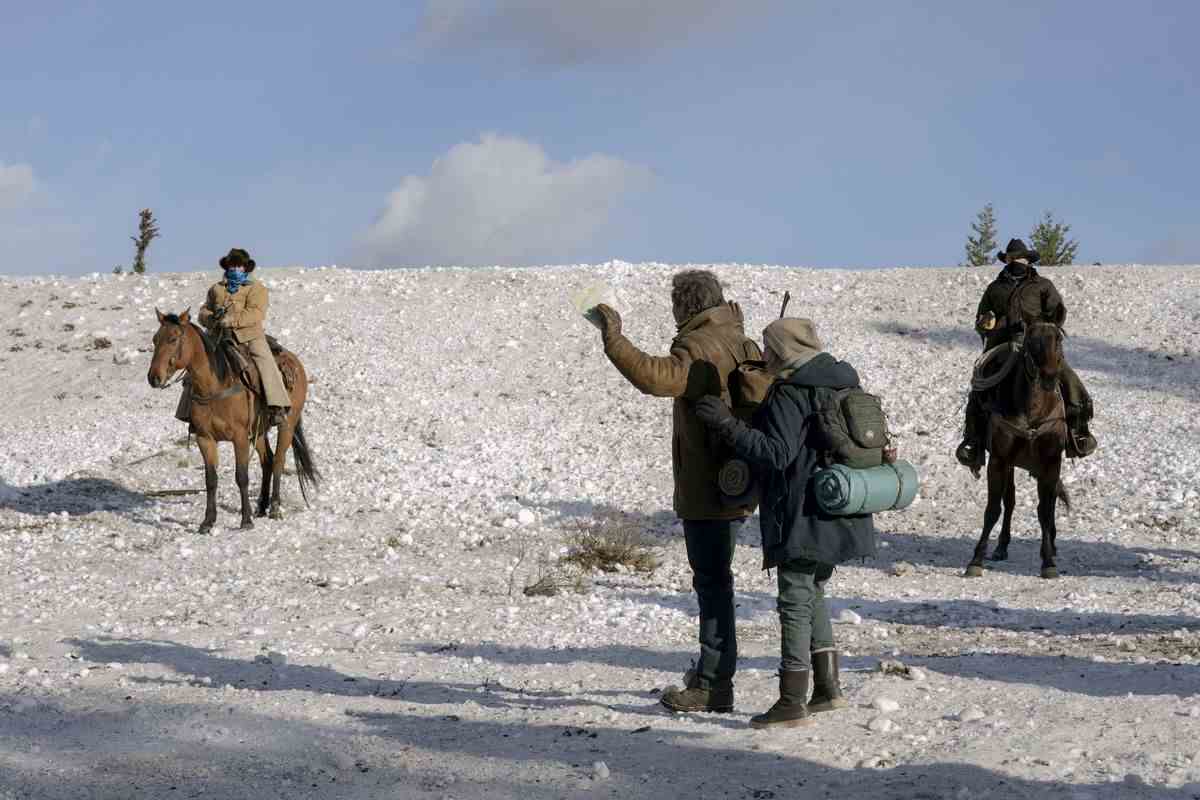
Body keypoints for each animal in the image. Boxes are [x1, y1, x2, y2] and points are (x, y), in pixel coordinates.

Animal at [145, 309, 319, 534]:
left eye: (173, 339)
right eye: (155, 339)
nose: (153, 378)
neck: (215, 386)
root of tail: (294, 361)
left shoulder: (239, 437)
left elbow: (241, 476)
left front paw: (245, 521)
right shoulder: (205, 438)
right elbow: (211, 479)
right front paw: (207, 522)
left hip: (287, 425)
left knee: (279, 461)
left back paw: (274, 508)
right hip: (259, 431)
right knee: (268, 460)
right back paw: (261, 507)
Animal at [964, 321, 1070, 578]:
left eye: (1059, 340)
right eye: (1032, 342)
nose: (1049, 376)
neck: (1032, 412)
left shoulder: (1052, 462)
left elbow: (1045, 511)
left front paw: (1048, 562)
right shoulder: (999, 461)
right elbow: (993, 509)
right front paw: (976, 560)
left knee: (1047, 503)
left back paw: (1051, 545)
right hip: (1010, 465)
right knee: (1010, 500)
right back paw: (1001, 547)